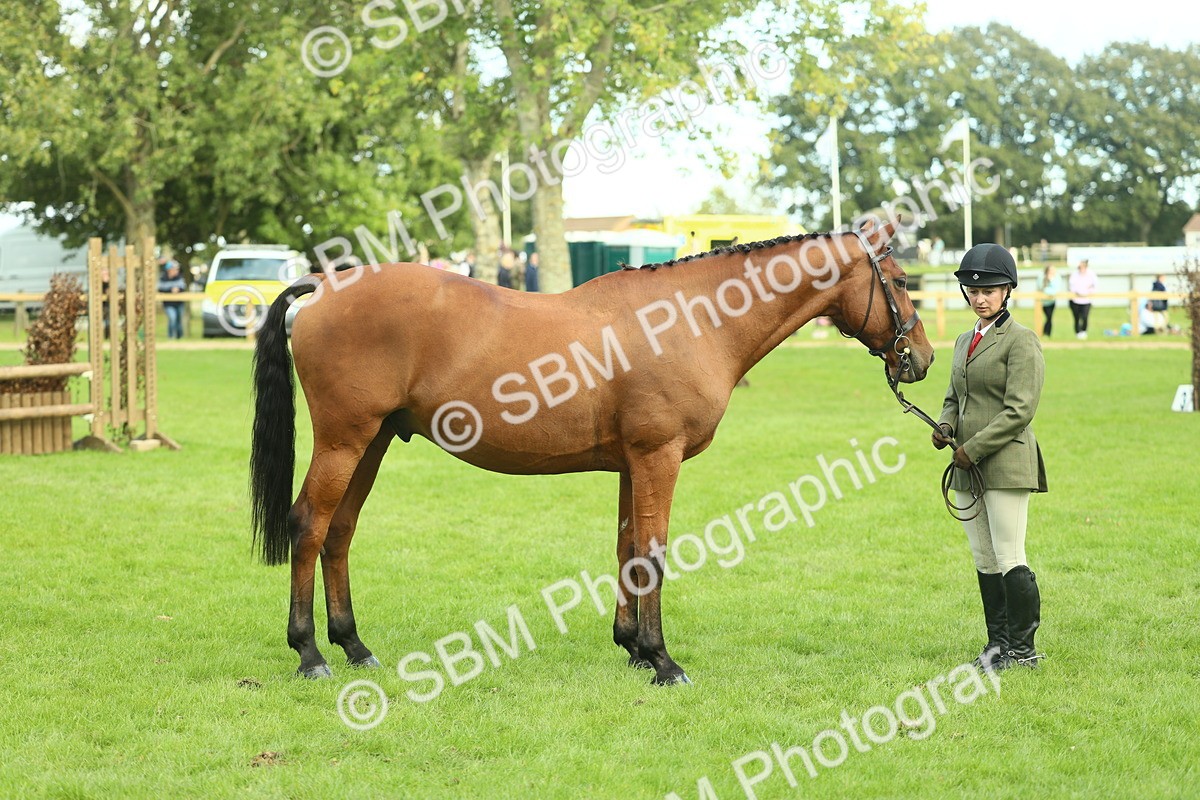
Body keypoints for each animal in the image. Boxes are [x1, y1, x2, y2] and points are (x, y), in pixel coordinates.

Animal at [250, 220, 934, 685]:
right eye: (902, 281)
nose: (922, 359)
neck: (687, 321)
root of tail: (322, 285)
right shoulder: (658, 457)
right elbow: (654, 553)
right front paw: (663, 660)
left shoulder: (634, 464)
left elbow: (628, 549)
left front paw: (631, 646)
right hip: (345, 439)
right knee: (309, 524)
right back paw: (310, 653)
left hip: (373, 442)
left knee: (339, 531)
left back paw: (354, 646)